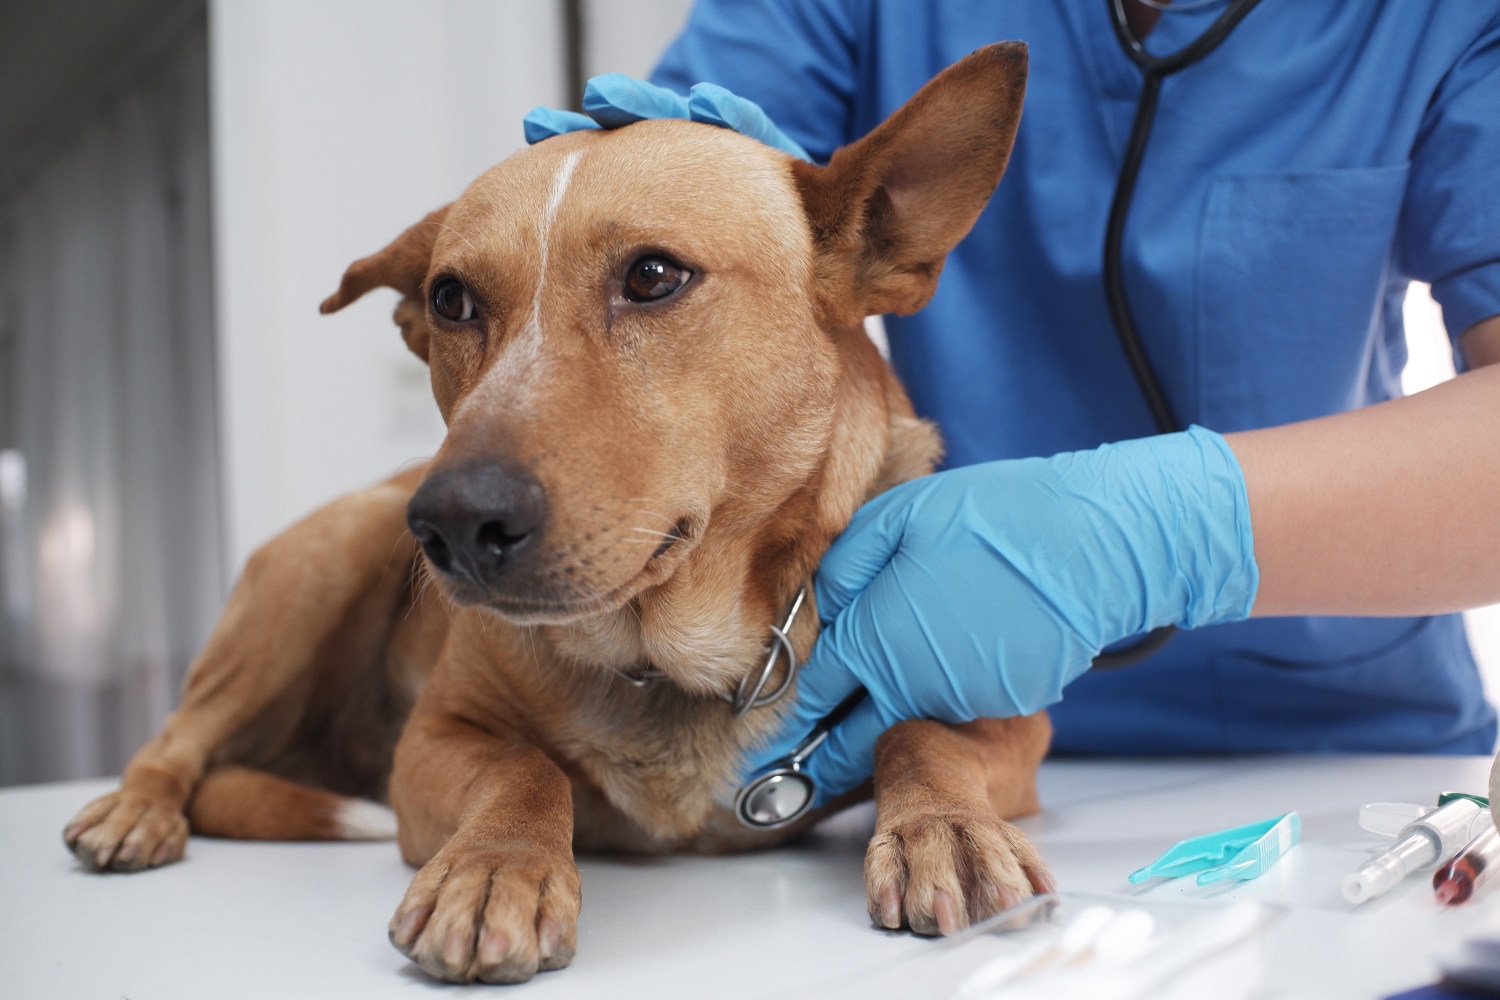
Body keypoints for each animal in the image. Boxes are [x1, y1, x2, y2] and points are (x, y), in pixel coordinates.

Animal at [64, 41, 1050, 983]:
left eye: (653, 275)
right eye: (450, 299)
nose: (452, 524)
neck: (663, 656)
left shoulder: (1014, 723)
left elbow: (923, 733)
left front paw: (944, 828)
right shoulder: (430, 745)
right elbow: (524, 766)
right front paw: (494, 865)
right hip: (323, 563)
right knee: (178, 738)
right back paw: (136, 810)